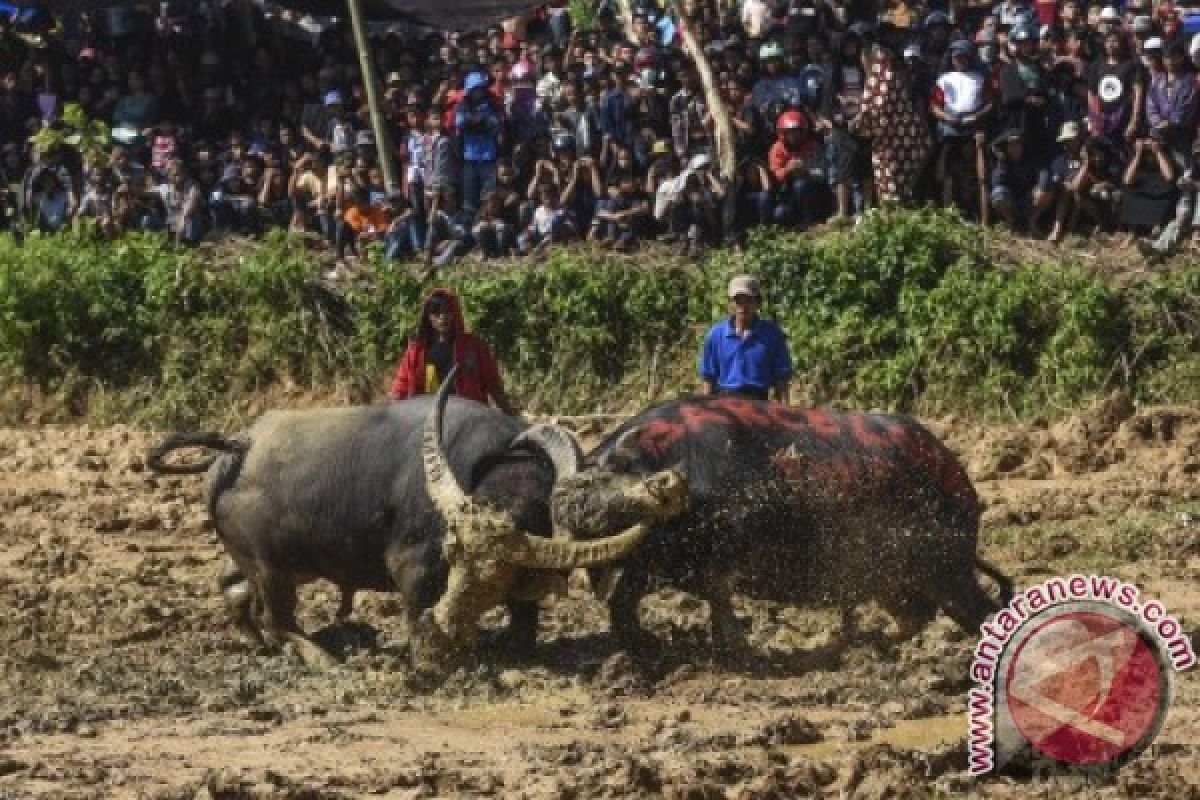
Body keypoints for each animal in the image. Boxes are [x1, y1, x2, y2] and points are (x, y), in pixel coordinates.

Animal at [150, 376, 691, 671]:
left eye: (496, 578)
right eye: (452, 555)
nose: (448, 624)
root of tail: (236, 446)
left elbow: (524, 626)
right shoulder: (412, 566)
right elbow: (416, 612)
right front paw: (431, 655)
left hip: (263, 563)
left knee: (235, 592)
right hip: (273, 570)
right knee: (276, 619)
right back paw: (324, 657)